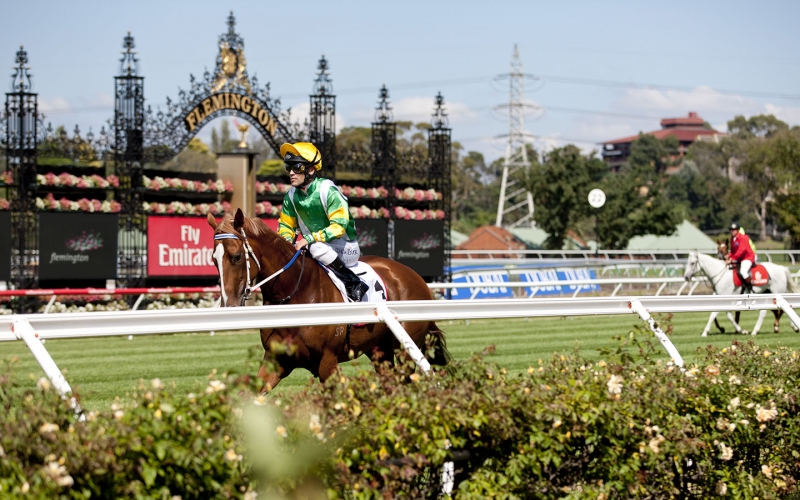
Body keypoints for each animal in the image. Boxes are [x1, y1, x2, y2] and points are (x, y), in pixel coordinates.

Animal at [206, 210, 450, 390]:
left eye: (237, 257)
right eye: (214, 260)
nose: (228, 306)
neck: (297, 294)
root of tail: (415, 276)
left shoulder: (327, 363)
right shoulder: (276, 361)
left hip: (407, 348)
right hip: (379, 349)